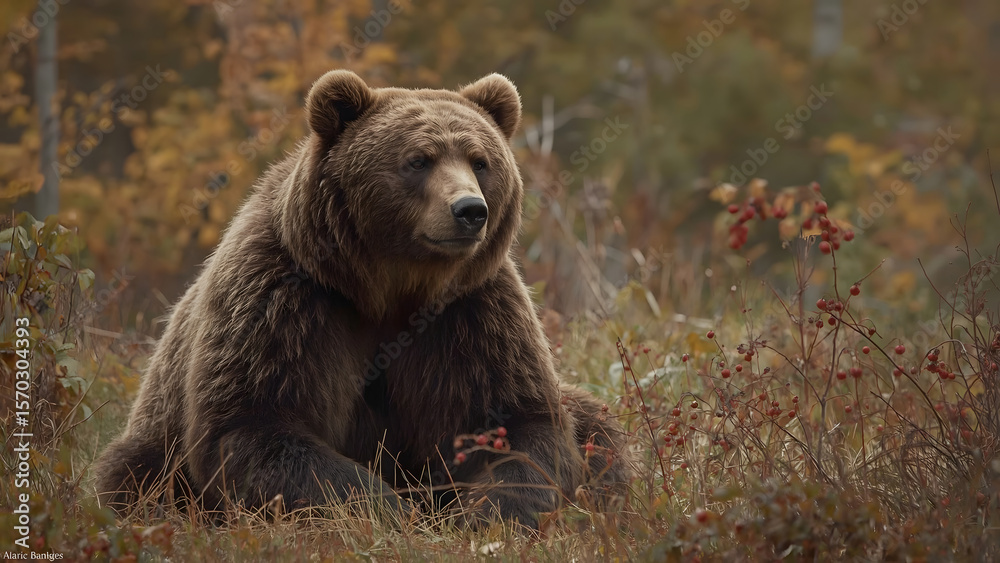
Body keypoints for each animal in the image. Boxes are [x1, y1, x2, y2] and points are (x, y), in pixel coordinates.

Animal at [94, 70, 631, 528]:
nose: (469, 210)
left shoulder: (473, 314)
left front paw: (487, 516)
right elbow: (257, 423)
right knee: (135, 478)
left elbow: (521, 423)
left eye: (481, 161)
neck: (391, 287)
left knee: (599, 430)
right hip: (153, 441)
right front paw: (391, 514)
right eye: (418, 159)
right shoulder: (283, 300)